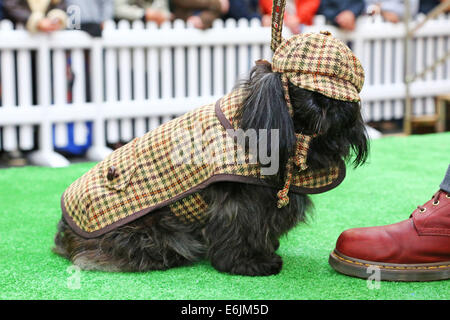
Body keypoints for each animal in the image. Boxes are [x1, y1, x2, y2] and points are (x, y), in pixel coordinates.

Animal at [53, 62, 370, 276]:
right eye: (309, 92)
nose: (341, 106)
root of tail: (65, 233)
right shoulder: (239, 202)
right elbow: (240, 230)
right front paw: (250, 263)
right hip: (155, 233)